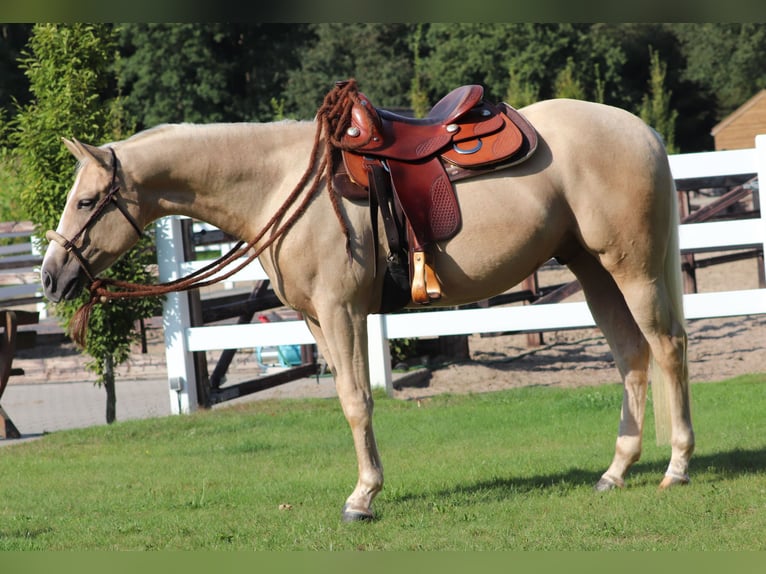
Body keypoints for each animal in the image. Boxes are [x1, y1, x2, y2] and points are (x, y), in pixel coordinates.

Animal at [42, 88, 696, 524]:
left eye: (88, 201)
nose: (51, 278)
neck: (280, 185)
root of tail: (641, 130)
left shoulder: (341, 310)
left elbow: (357, 402)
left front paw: (362, 498)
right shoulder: (315, 319)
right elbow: (344, 397)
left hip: (631, 268)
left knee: (666, 348)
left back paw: (677, 468)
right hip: (592, 269)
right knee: (632, 357)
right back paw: (615, 472)